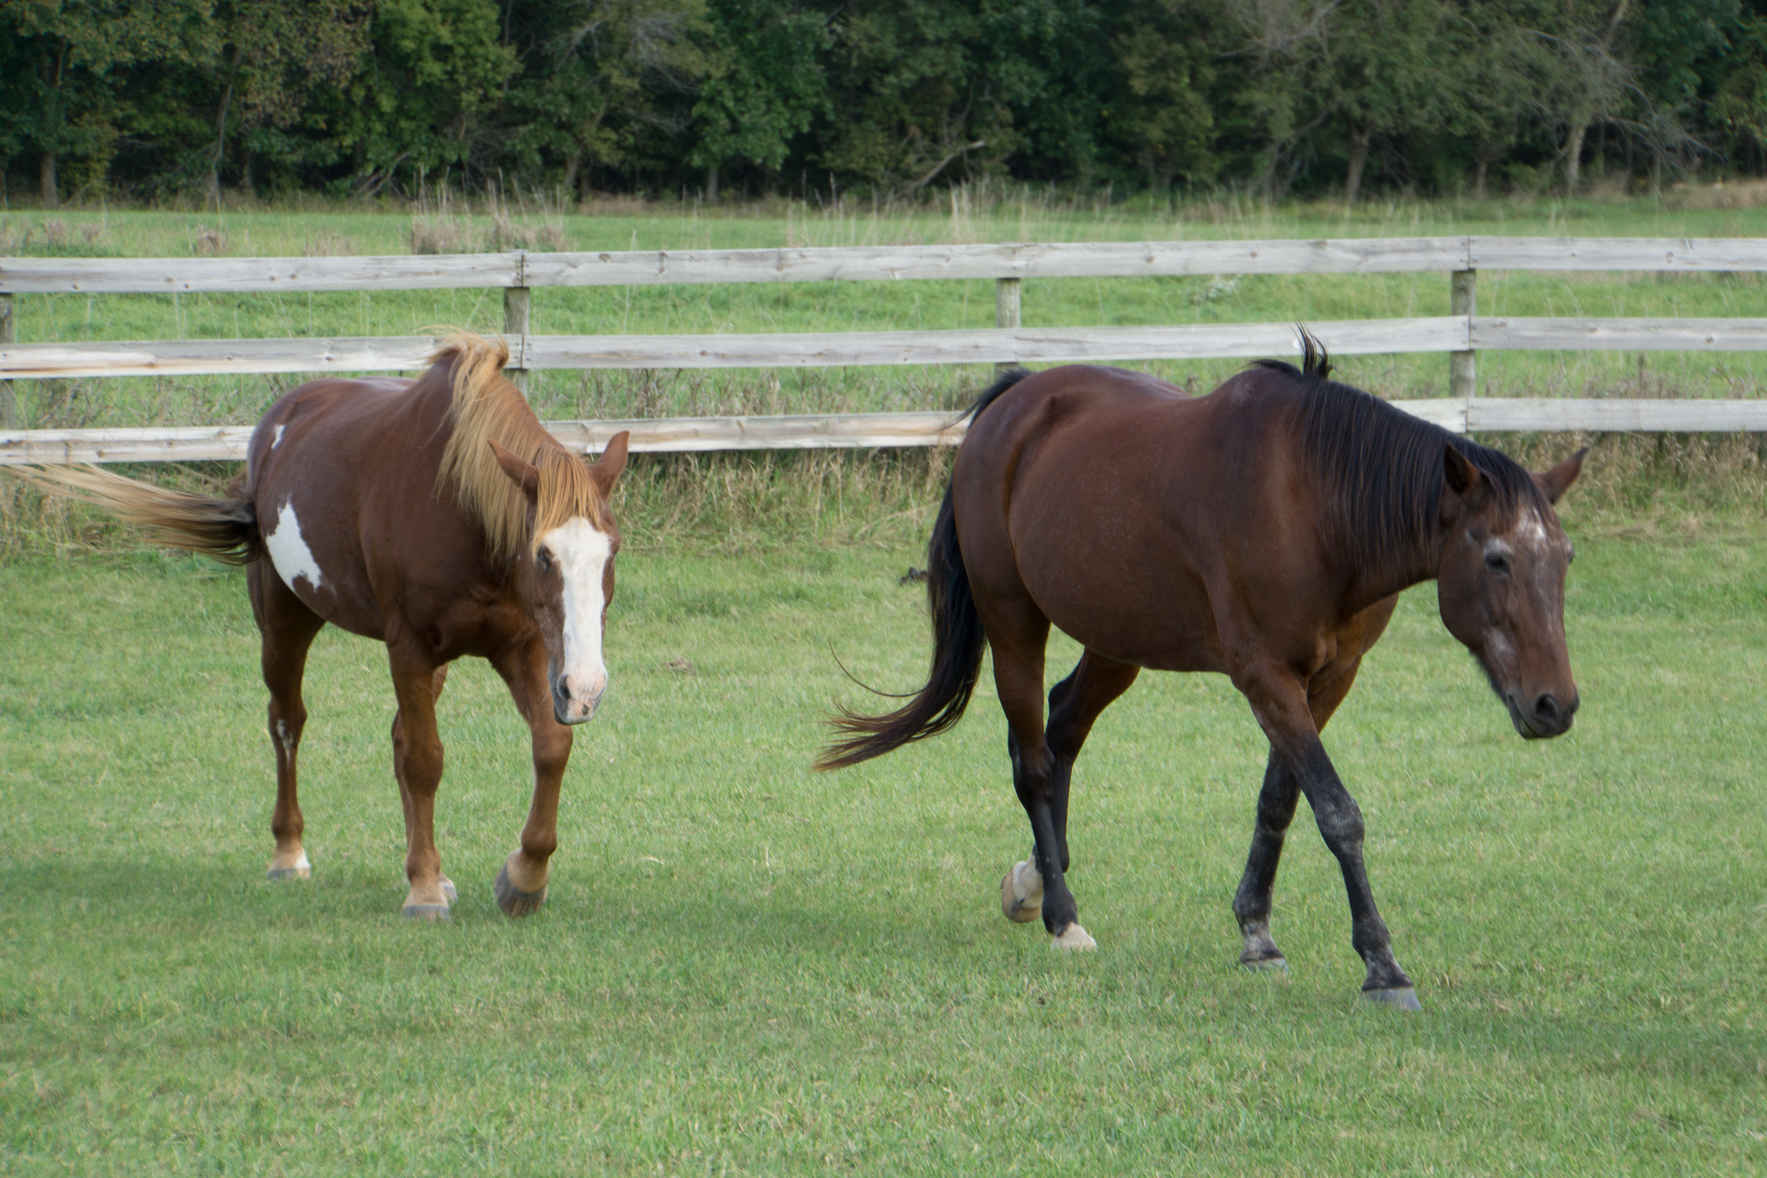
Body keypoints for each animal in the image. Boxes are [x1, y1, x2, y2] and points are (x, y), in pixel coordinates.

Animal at [15, 332, 629, 918]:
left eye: (613, 549)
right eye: (543, 555)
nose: (587, 688)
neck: (462, 513)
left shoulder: (522, 647)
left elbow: (549, 746)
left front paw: (522, 880)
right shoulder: (409, 648)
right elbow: (425, 760)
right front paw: (424, 893)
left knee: (396, 735)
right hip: (284, 623)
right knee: (287, 723)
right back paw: (291, 854)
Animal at [816, 333, 1590, 1017]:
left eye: (1565, 557)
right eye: (1496, 558)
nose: (1553, 705)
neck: (1317, 507)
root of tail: (1014, 404)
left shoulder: (1330, 678)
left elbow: (1280, 802)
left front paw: (1256, 935)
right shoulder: (1264, 676)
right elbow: (1337, 813)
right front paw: (1382, 966)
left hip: (1115, 640)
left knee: (1062, 730)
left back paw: (1036, 880)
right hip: (1015, 624)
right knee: (1033, 760)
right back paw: (1062, 915)